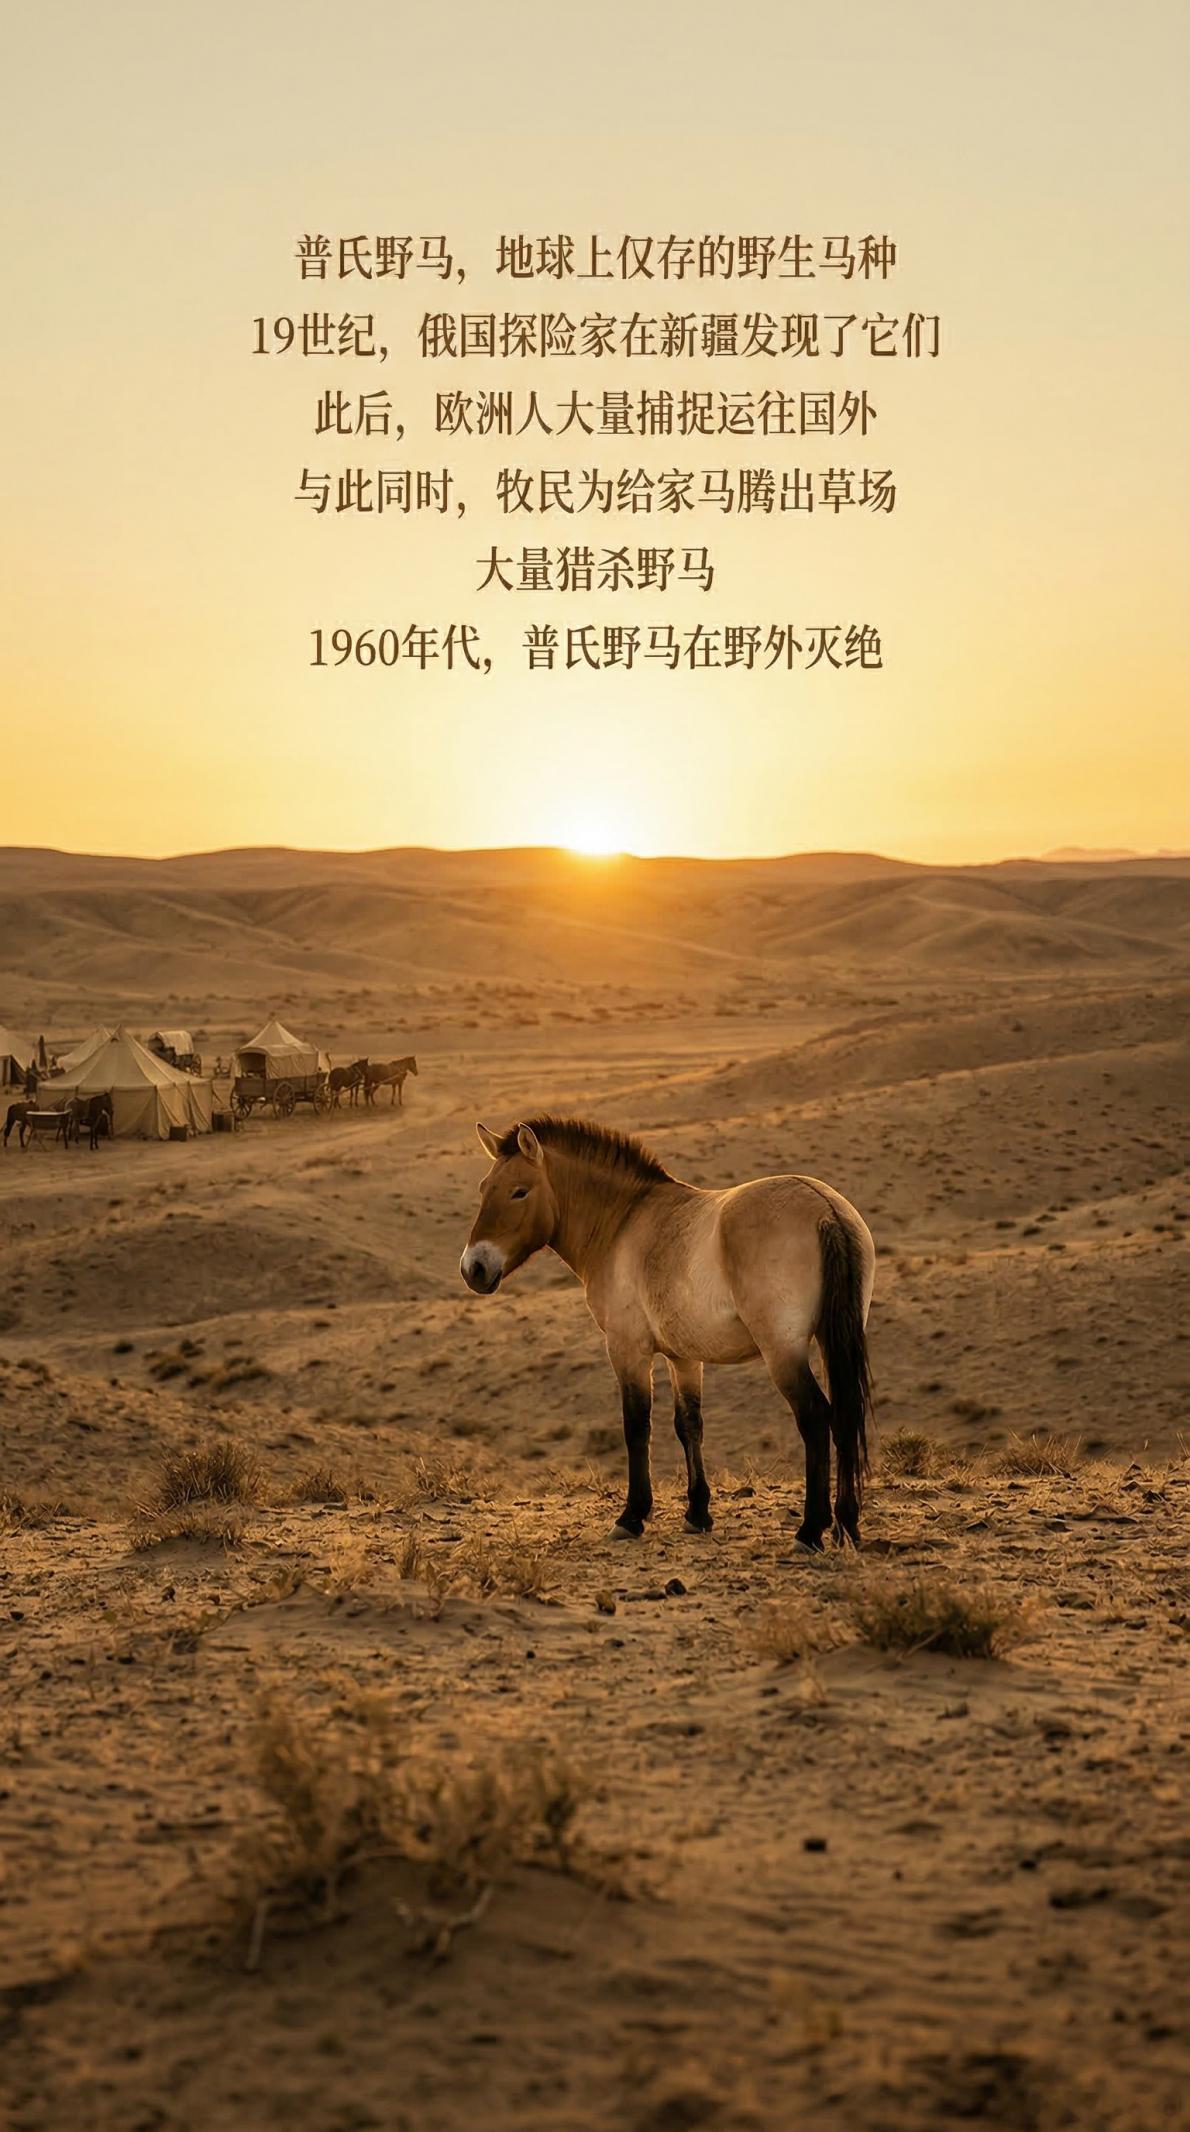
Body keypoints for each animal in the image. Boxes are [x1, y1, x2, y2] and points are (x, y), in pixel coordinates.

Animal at [460, 1116, 875, 1552]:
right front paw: (697, 1513)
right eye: (484, 1188)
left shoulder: (628, 1350)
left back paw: (811, 1531)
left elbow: (636, 1426)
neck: (623, 1221)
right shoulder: (684, 1357)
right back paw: (846, 1525)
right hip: (832, 1341)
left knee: (815, 1417)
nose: (474, 1268)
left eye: (519, 1191)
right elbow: (689, 1424)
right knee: (845, 1415)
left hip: (784, 1353)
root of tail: (826, 1209)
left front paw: (631, 1517)